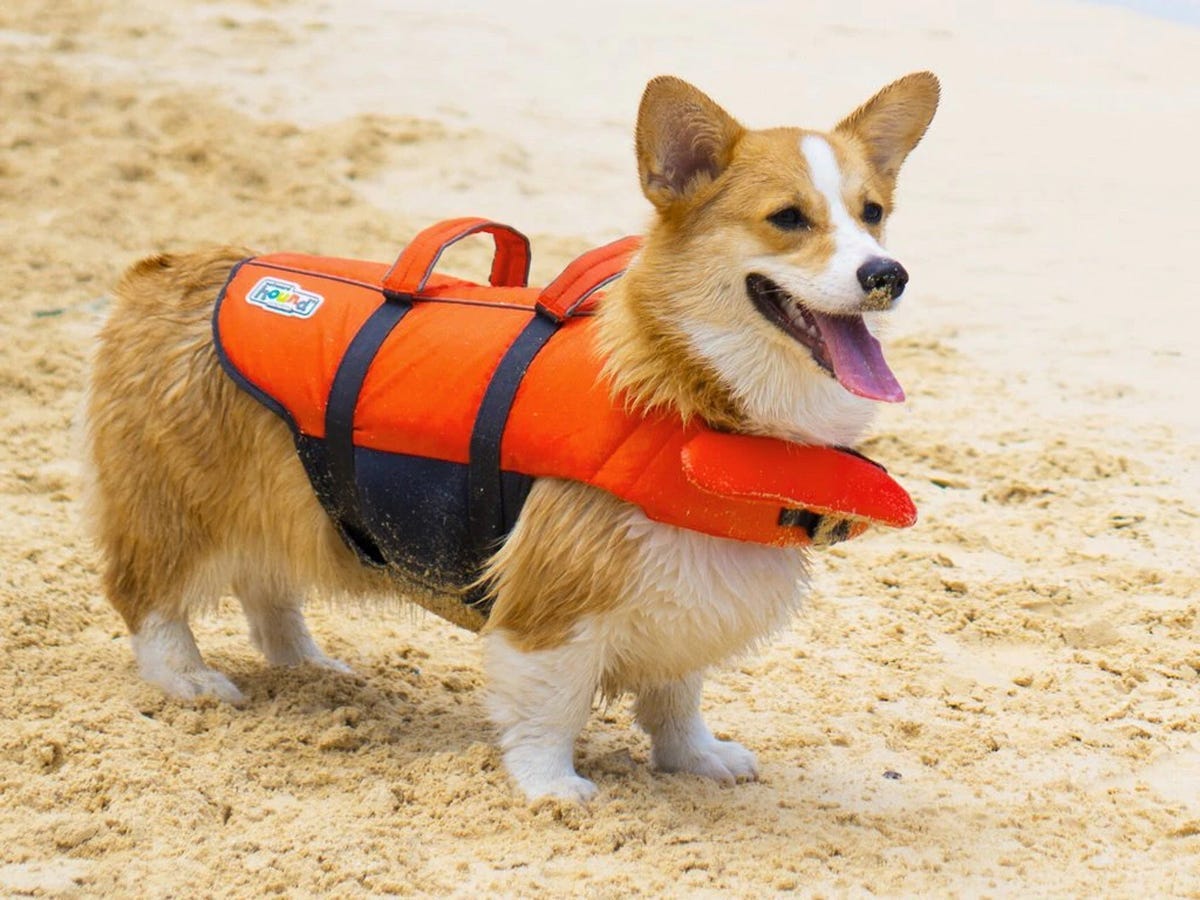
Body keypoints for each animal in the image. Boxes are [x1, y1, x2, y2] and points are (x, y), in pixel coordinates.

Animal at [88, 74, 940, 801]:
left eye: (873, 213)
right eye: (788, 218)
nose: (888, 274)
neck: (688, 387)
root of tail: (164, 271)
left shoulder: (686, 597)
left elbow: (677, 696)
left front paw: (697, 759)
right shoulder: (555, 603)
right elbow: (549, 705)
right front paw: (552, 788)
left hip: (286, 501)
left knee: (269, 584)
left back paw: (309, 665)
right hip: (182, 504)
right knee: (148, 598)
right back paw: (189, 680)